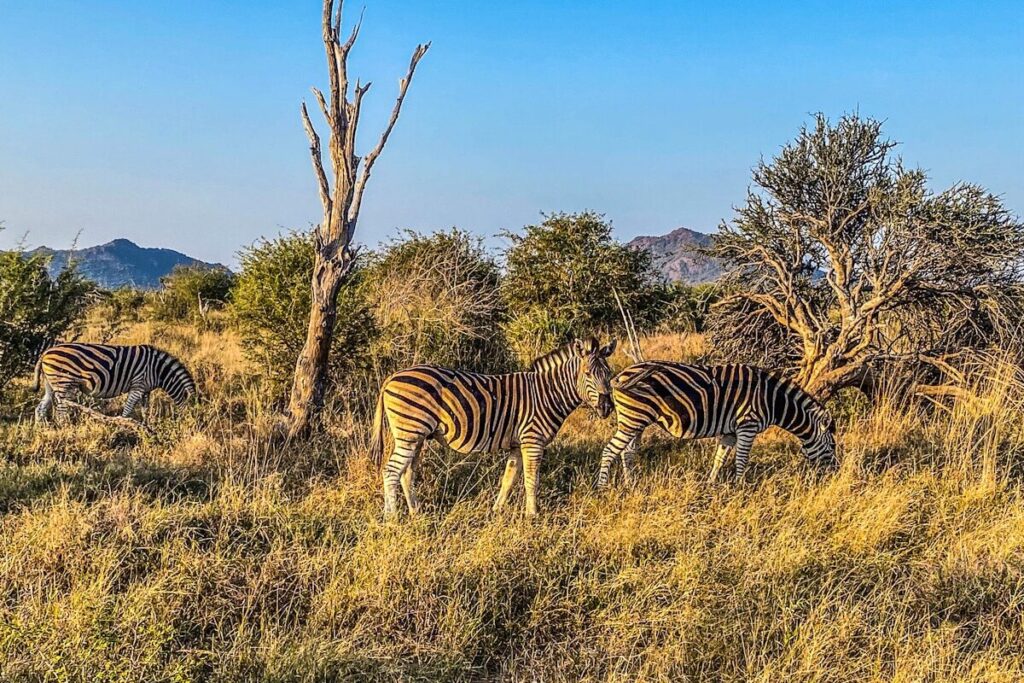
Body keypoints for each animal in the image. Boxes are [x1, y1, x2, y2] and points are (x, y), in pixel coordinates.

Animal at [33, 344, 197, 423]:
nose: (193, 426)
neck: (157, 370)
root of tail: (45, 353)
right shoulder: (138, 385)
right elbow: (127, 410)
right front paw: (125, 427)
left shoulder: (146, 390)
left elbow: (145, 409)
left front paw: (147, 424)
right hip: (63, 384)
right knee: (61, 412)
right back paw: (65, 429)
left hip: (50, 384)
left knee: (40, 408)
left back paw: (44, 431)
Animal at [370, 335, 614, 518]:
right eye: (588, 374)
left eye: (609, 374)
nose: (607, 407)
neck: (547, 394)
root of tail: (391, 377)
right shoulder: (533, 441)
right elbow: (531, 480)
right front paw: (532, 515)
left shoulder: (518, 444)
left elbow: (509, 479)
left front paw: (497, 510)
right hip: (410, 433)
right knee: (391, 471)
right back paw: (392, 518)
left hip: (417, 437)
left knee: (406, 473)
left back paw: (416, 513)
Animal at [598, 360, 835, 489]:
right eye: (832, 446)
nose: (835, 471)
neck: (771, 399)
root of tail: (620, 374)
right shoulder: (747, 426)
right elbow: (741, 460)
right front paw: (741, 488)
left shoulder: (730, 431)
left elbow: (719, 458)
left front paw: (711, 485)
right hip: (633, 419)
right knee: (610, 450)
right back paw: (602, 488)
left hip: (636, 421)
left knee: (627, 452)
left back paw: (631, 484)